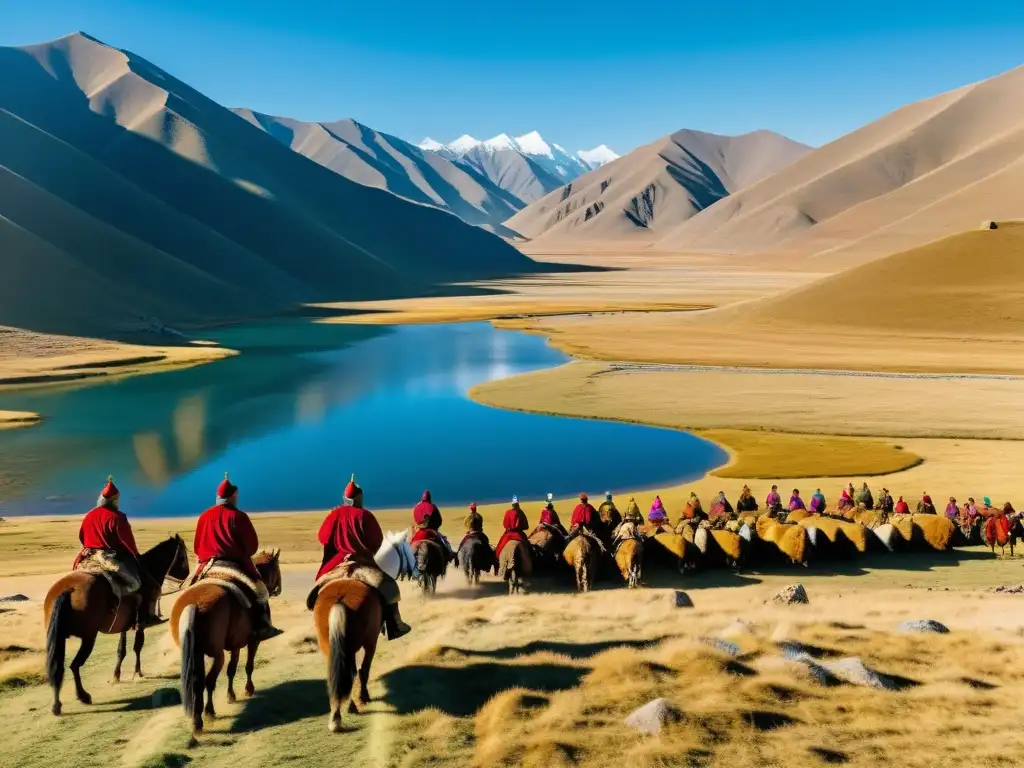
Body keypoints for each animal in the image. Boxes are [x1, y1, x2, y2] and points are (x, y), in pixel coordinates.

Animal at [44, 536, 190, 720]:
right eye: (183, 555)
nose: (186, 573)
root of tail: (68, 590)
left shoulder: (124, 625)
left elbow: (121, 650)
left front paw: (116, 676)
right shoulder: (141, 623)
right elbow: (137, 646)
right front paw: (137, 672)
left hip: (58, 637)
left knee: (58, 668)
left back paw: (56, 705)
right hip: (89, 637)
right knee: (74, 665)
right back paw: (83, 696)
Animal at [169, 548, 280, 741]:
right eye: (277, 568)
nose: (278, 589)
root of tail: (193, 605)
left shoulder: (232, 647)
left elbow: (231, 670)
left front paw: (231, 695)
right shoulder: (250, 642)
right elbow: (244, 667)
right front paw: (245, 691)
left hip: (196, 654)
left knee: (198, 683)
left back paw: (197, 721)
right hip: (216, 655)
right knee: (209, 681)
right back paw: (208, 713)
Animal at [311, 581, 385, 733]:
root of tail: (340, 600)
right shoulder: (370, 644)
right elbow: (363, 671)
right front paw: (364, 698)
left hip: (332, 648)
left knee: (337, 677)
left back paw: (336, 717)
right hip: (367, 642)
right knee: (356, 672)